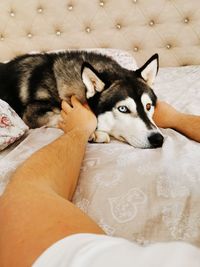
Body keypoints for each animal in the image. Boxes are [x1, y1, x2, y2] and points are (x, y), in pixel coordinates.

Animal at [0, 50, 163, 150]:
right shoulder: (31, 113)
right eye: (123, 109)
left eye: (148, 106)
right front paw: (92, 132)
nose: (158, 139)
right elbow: (60, 115)